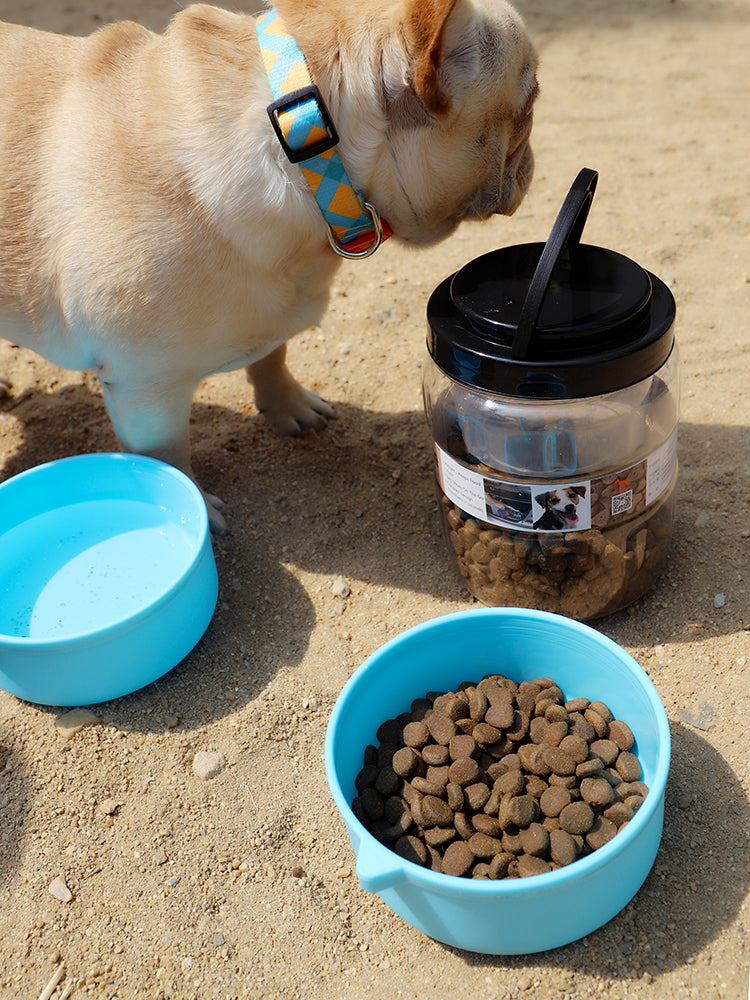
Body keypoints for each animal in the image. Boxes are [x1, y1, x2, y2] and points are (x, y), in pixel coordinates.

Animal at [1, 0, 540, 528]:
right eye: (530, 104)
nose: (531, 163)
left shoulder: (275, 306)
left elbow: (272, 354)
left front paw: (288, 406)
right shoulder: (144, 390)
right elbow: (167, 458)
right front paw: (198, 507)